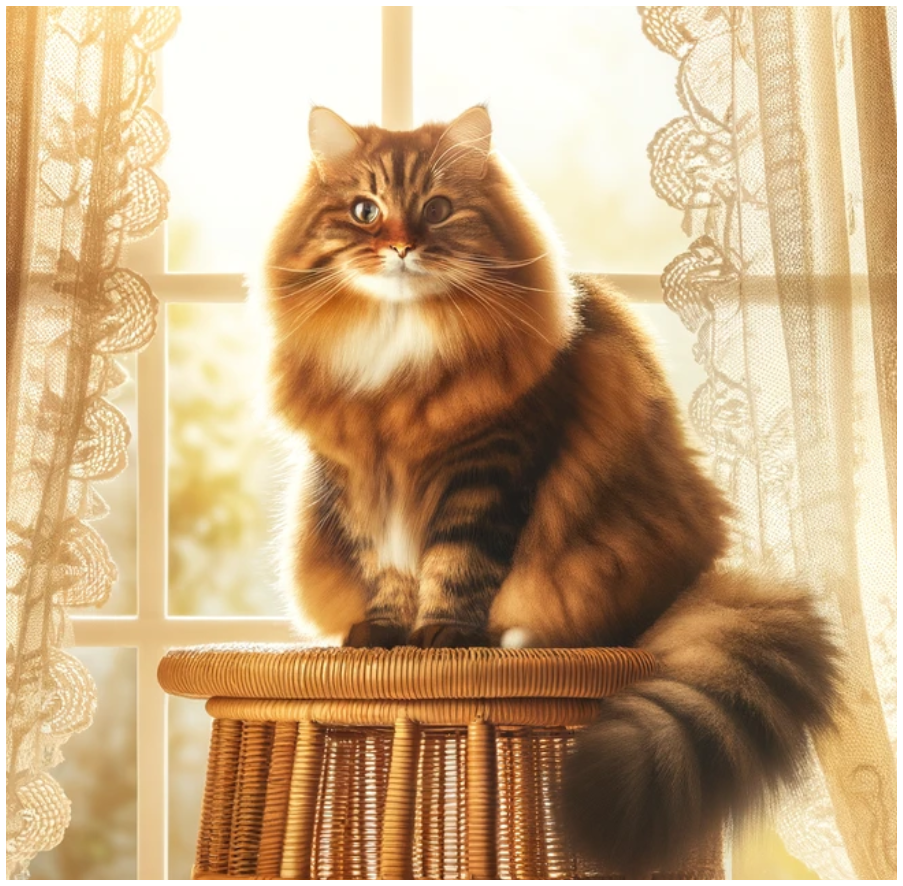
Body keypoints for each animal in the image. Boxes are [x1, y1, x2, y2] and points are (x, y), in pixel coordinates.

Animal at [260, 106, 840, 876]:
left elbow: (457, 565)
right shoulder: (358, 483)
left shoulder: (489, 468)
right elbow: (385, 573)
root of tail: (693, 575)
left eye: (437, 210)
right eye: (364, 212)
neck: (401, 352)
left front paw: (442, 637)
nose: (403, 246)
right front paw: (385, 636)